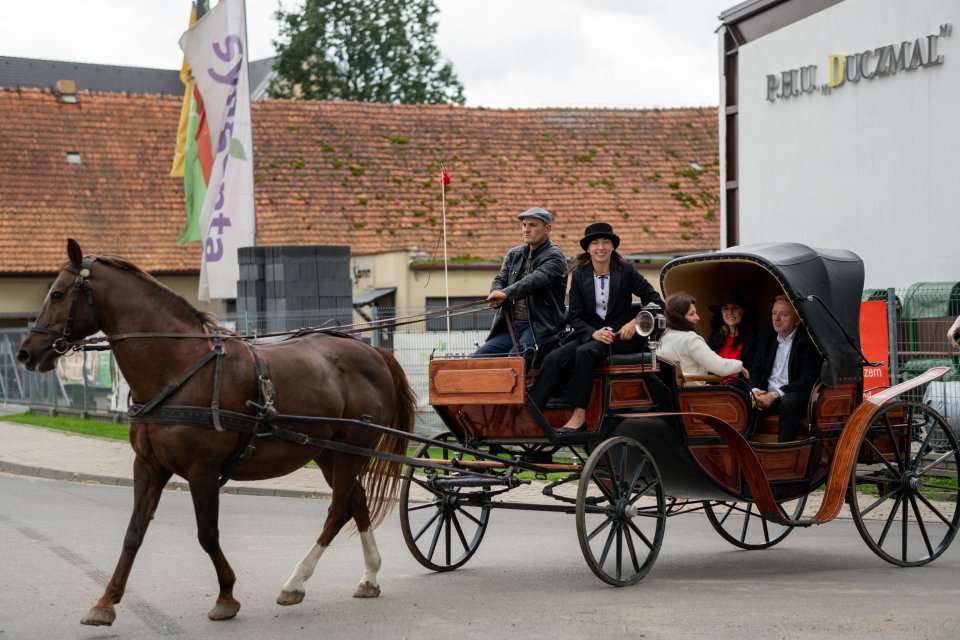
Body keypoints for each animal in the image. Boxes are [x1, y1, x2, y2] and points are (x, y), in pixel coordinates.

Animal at [17, 239, 416, 624]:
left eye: (57, 294)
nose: (26, 353)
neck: (179, 367)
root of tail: (374, 352)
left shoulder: (203, 471)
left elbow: (207, 535)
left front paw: (226, 596)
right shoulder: (148, 466)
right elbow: (134, 533)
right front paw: (106, 602)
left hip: (351, 450)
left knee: (337, 509)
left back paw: (296, 581)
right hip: (327, 453)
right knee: (356, 501)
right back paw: (369, 577)